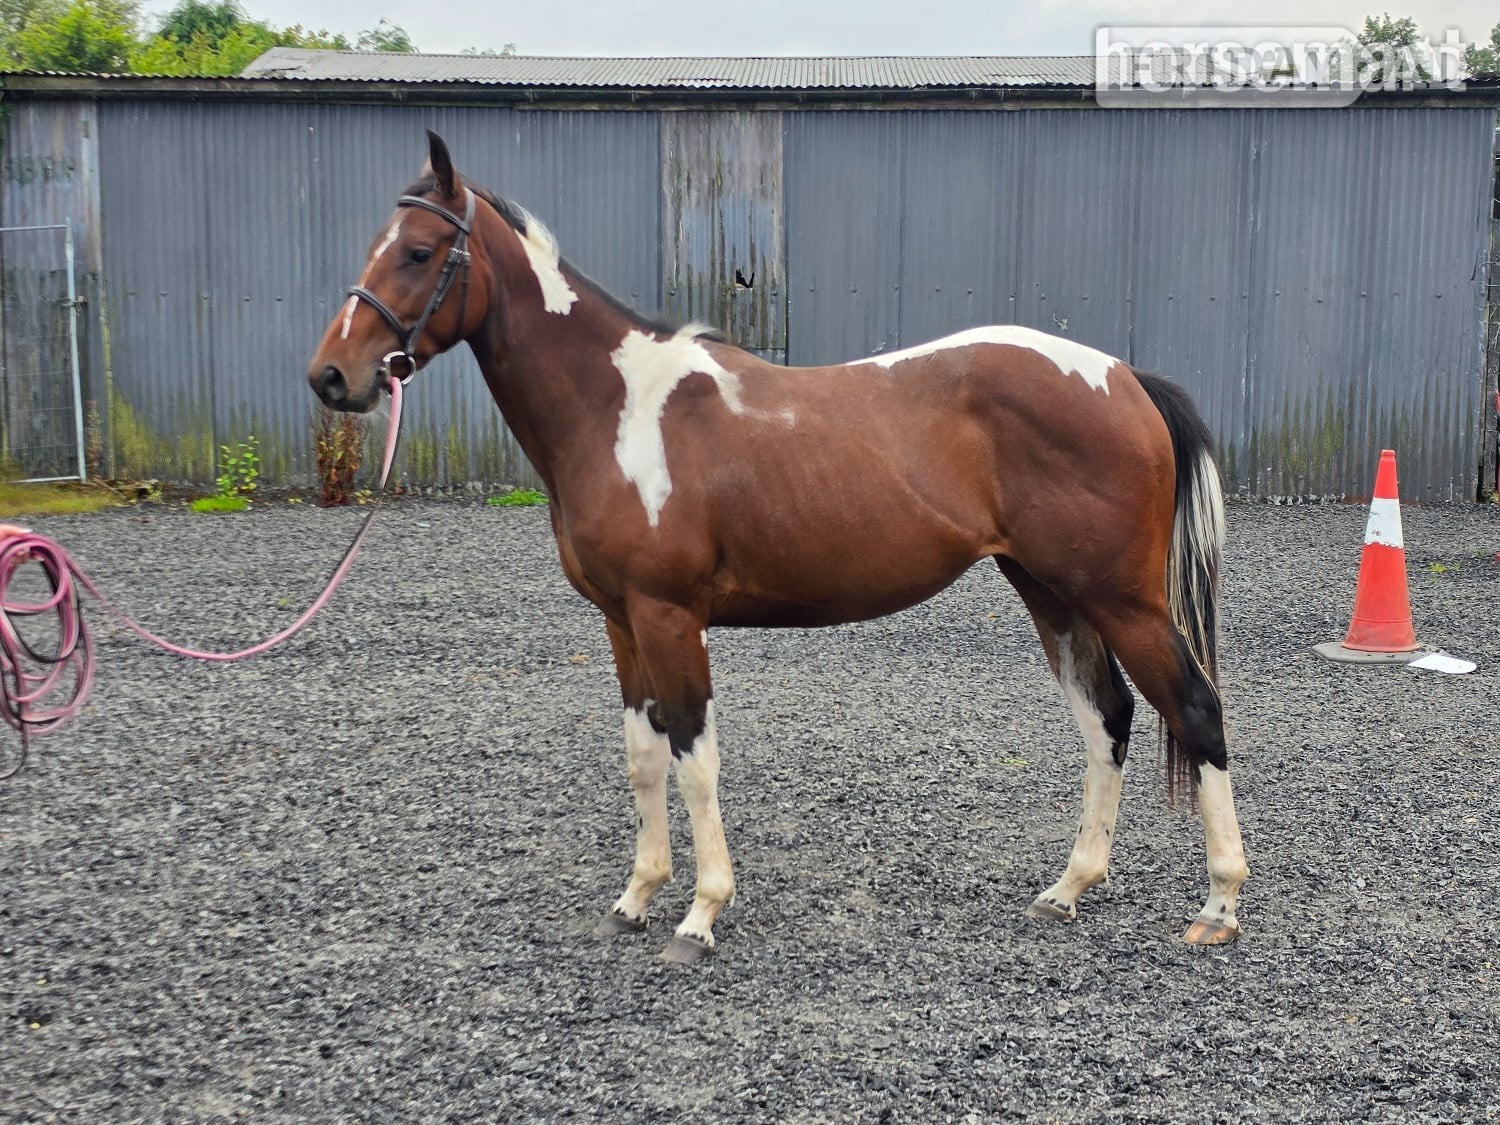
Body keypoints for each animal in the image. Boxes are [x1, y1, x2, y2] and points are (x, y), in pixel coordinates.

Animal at [308, 131, 1249, 962]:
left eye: (420, 251)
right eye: (377, 245)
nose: (331, 377)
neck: (615, 407)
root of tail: (1124, 376)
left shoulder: (669, 616)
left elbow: (694, 757)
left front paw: (699, 915)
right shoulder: (622, 621)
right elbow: (643, 756)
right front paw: (635, 899)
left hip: (1120, 598)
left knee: (1194, 708)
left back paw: (1218, 905)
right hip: (1052, 591)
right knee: (1108, 717)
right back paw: (1070, 887)